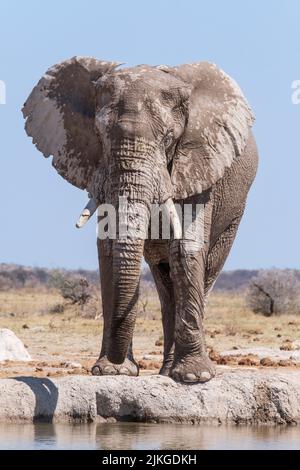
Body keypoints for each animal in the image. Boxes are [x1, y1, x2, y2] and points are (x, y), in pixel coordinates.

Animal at [22, 57, 258, 384]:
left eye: (169, 139)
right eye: (100, 135)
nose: (115, 361)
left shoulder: (199, 165)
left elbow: (186, 248)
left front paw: (194, 377)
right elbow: (109, 250)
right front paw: (112, 372)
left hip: (235, 211)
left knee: (203, 269)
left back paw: (179, 371)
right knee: (164, 279)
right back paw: (166, 370)